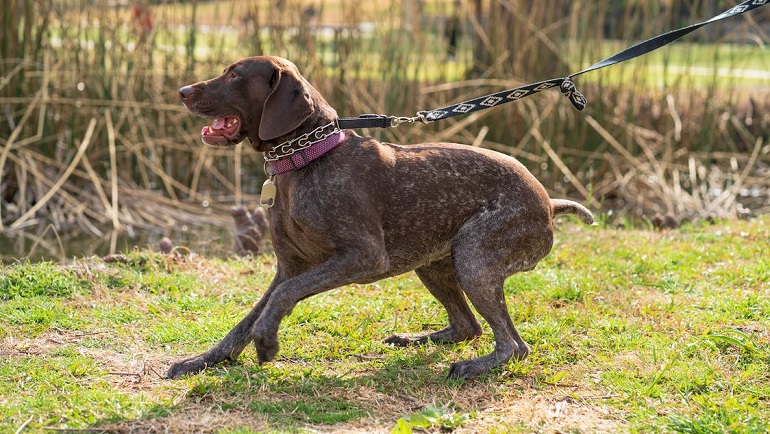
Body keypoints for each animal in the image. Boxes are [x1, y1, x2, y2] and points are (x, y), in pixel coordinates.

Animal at [166, 55, 588, 380]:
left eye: (235, 75)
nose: (181, 91)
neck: (307, 157)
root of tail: (548, 203)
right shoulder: (289, 266)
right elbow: (247, 320)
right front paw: (204, 360)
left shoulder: (363, 257)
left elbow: (279, 301)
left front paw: (267, 341)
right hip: (435, 264)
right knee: (468, 326)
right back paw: (416, 340)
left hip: (473, 258)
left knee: (513, 345)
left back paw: (474, 367)